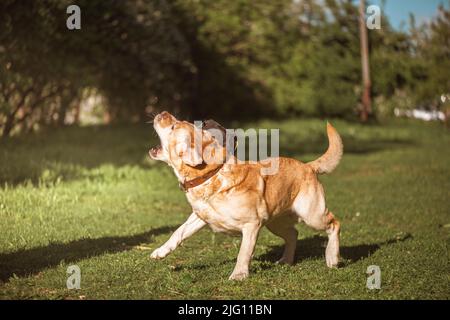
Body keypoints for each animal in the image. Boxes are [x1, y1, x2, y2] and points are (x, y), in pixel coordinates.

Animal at [148, 110, 342, 280]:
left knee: (334, 224)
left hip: (312, 215)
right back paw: (286, 260)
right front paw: (160, 251)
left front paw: (239, 275)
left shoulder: (251, 225)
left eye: (173, 126)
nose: (163, 112)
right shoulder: (199, 216)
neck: (211, 174)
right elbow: (178, 232)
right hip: (276, 222)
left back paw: (332, 258)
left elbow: (244, 253)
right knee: (293, 234)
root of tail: (308, 166)